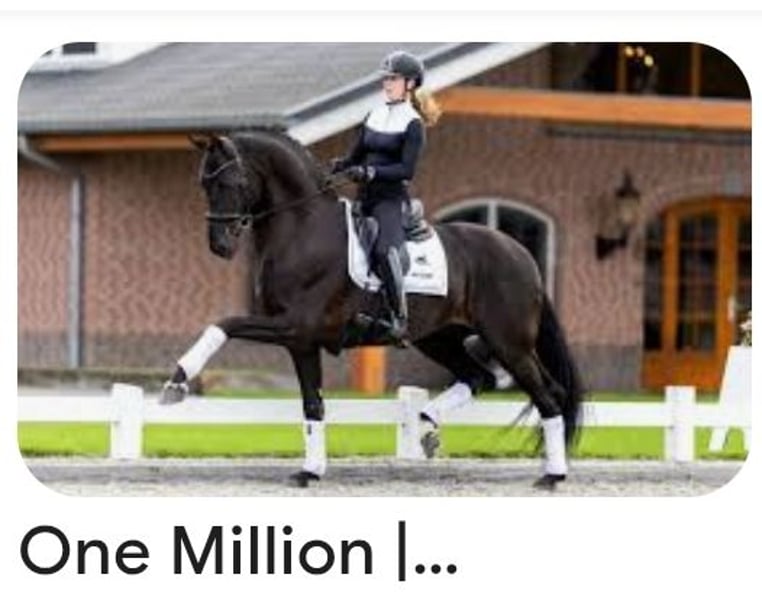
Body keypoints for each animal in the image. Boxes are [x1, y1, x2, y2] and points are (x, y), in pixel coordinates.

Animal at [160, 129, 585, 490]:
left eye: (228, 183)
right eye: (203, 185)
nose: (220, 245)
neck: (303, 228)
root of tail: (521, 254)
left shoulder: (295, 325)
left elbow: (224, 324)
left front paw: (176, 381)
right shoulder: (301, 342)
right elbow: (312, 405)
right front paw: (310, 471)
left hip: (507, 342)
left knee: (548, 396)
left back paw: (553, 475)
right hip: (439, 337)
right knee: (479, 377)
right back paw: (426, 426)